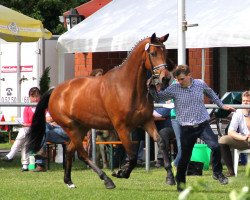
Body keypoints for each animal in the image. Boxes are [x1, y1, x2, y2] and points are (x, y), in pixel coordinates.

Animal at [25, 32, 175, 189]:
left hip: (82, 127)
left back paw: (69, 181)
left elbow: (161, 142)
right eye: (152, 53)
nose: (165, 78)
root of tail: (55, 91)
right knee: (82, 153)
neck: (128, 87)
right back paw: (107, 179)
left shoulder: (147, 121)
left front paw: (170, 178)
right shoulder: (122, 128)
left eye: (165, 52)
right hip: (71, 127)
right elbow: (132, 156)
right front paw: (121, 173)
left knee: (71, 150)